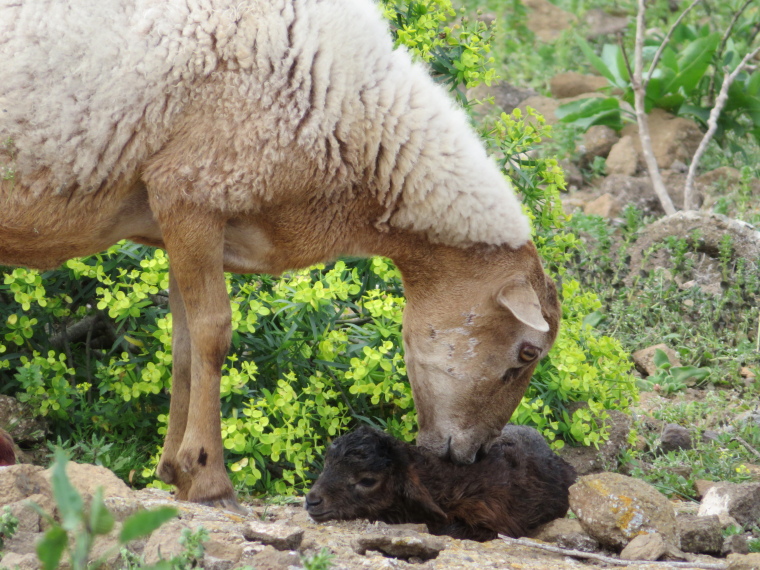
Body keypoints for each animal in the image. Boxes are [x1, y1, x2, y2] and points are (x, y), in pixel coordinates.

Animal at [0, 0, 560, 506]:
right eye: (527, 353)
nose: (471, 456)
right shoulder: (192, 190)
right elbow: (213, 336)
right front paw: (209, 479)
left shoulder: (176, 218)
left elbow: (182, 345)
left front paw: (176, 472)